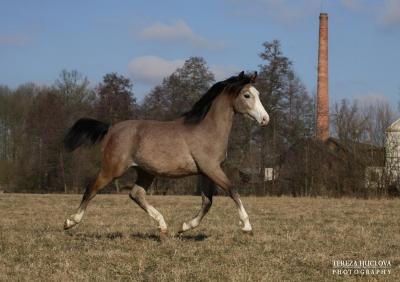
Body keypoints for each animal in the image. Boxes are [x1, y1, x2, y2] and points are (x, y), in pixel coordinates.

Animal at [63, 71, 268, 235]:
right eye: (247, 95)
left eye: (258, 94)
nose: (265, 119)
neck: (208, 129)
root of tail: (111, 128)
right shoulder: (211, 168)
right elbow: (232, 190)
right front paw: (247, 226)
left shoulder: (206, 171)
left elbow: (207, 201)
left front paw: (185, 226)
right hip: (112, 169)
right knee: (91, 189)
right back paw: (70, 222)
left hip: (145, 172)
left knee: (136, 194)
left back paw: (162, 225)